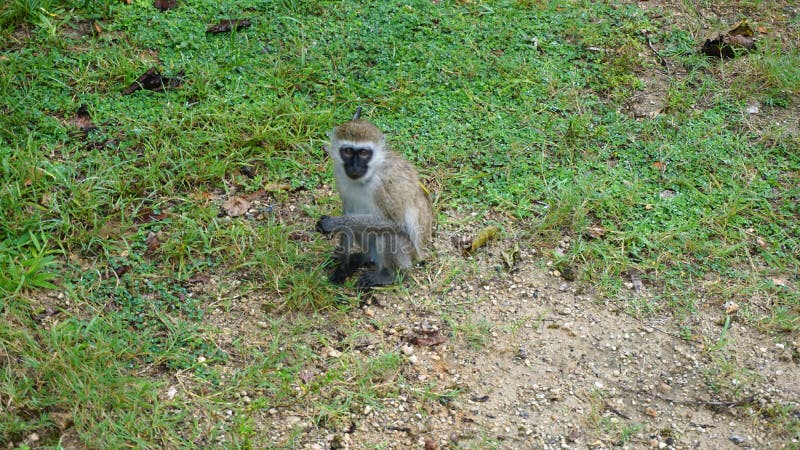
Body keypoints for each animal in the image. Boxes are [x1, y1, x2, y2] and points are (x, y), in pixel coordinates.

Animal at [316, 108, 434, 288]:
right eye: (347, 151)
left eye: (364, 153)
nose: (354, 167)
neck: (368, 176)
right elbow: (348, 214)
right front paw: (344, 265)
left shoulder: (385, 185)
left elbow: (395, 224)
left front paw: (333, 223)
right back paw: (362, 258)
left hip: (408, 252)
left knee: (387, 234)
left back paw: (392, 276)